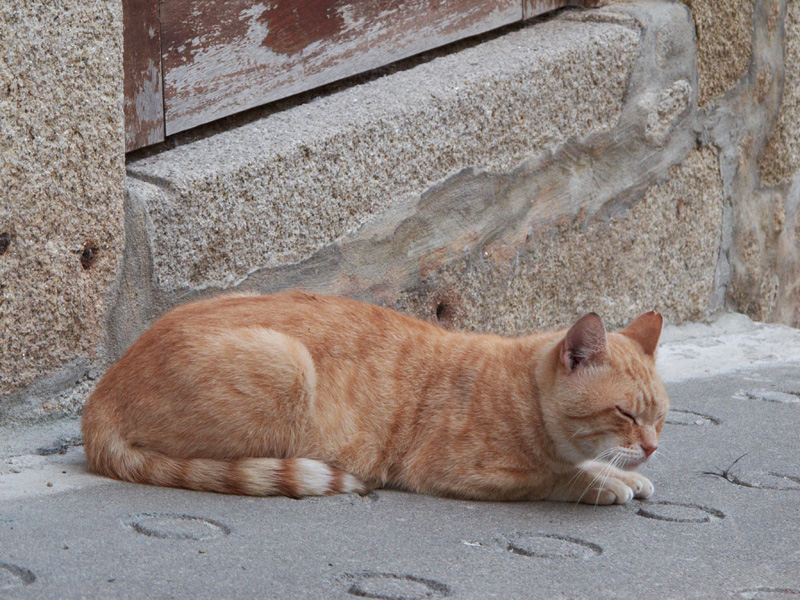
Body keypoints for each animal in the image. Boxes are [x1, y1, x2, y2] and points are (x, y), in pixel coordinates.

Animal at [81, 290, 668, 502]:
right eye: (625, 413)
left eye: (660, 417)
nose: (652, 447)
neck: (520, 389)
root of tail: (97, 401)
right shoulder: (459, 472)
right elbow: (555, 478)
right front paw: (602, 483)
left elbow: (588, 464)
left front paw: (619, 472)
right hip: (285, 364)